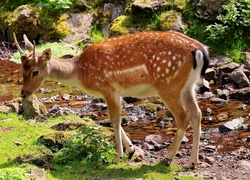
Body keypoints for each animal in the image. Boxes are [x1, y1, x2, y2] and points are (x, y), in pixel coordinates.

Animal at [13, 31, 209, 169]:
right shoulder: (117, 92)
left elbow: (114, 119)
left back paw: (167, 159)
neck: (80, 72)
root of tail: (200, 51)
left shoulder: (108, 88)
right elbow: (117, 120)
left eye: (35, 71)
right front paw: (131, 150)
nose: (23, 93)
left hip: (168, 85)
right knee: (197, 114)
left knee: (183, 117)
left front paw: (117, 156)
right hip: (187, 86)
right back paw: (192, 162)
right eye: (22, 69)